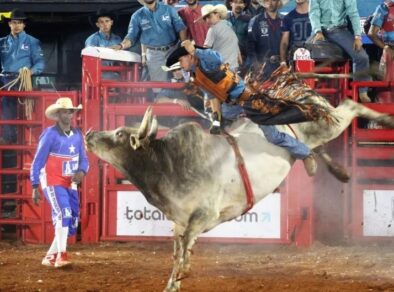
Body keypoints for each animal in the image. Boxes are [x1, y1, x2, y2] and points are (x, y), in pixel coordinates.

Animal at [84, 69, 394, 292]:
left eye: (120, 134)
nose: (88, 134)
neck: (168, 164)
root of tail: (292, 89)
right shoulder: (179, 221)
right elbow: (178, 250)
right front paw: (173, 283)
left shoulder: (205, 215)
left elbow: (185, 248)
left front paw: (183, 273)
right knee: (316, 148)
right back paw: (332, 169)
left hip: (326, 123)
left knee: (350, 105)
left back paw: (386, 120)